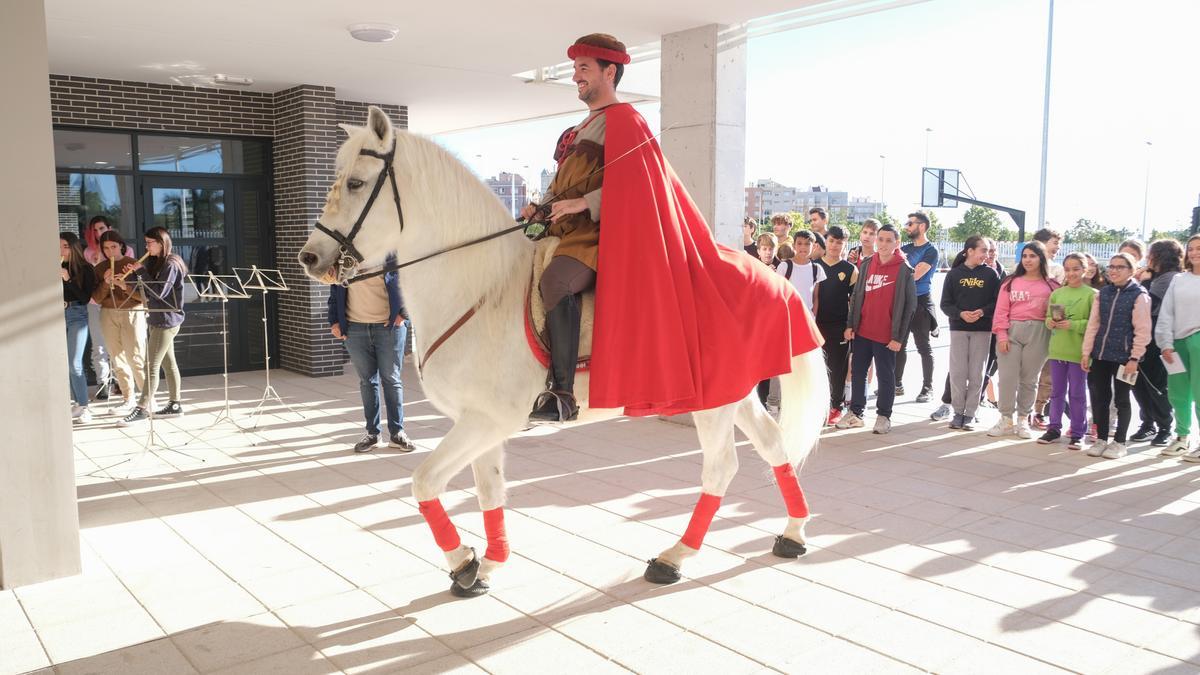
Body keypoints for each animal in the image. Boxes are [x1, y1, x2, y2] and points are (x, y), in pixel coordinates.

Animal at [298, 107, 825, 595]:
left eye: (356, 182)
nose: (309, 258)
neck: (480, 289)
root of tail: (773, 277)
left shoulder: (486, 420)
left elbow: (425, 482)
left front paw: (463, 561)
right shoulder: (481, 422)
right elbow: (489, 490)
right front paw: (487, 565)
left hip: (712, 402)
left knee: (721, 468)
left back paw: (674, 557)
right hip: (734, 390)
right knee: (772, 444)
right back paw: (793, 533)